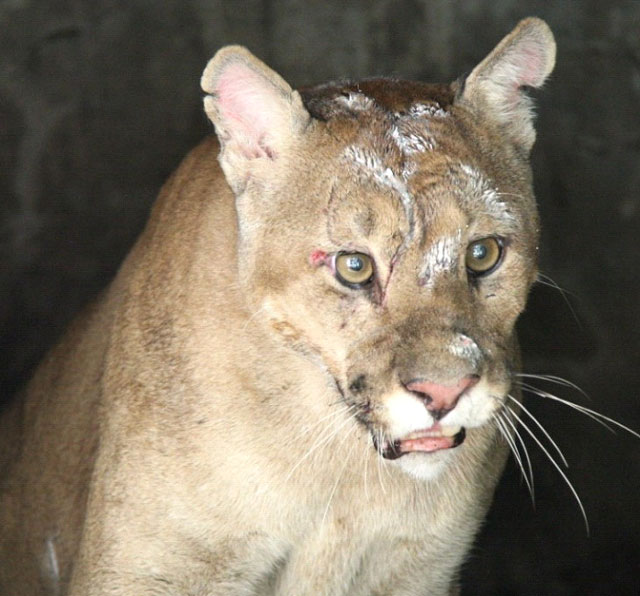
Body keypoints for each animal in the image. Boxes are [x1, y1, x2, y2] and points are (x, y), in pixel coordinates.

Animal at [0, 16, 556, 592]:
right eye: (354, 266)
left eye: (483, 253)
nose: (445, 392)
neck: (341, 469)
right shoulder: (150, 568)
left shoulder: (419, 568)